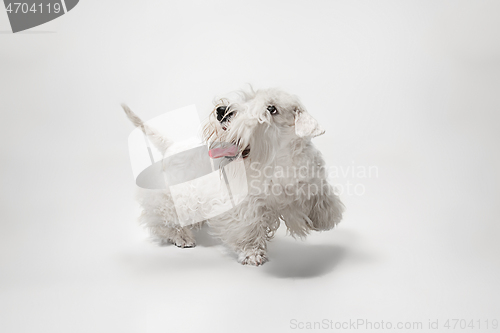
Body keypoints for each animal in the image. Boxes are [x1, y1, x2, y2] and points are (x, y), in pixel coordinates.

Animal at [123, 87, 346, 264]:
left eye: (271, 109)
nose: (222, 111)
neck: (275, 161)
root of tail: (171, 146)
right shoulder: (245, 205)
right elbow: (249, 228)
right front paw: (252, 254)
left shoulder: (311, 183)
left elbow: (324, 202)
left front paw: (324, 220)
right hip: (172, 197)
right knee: (160, 219)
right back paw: (182, 237)